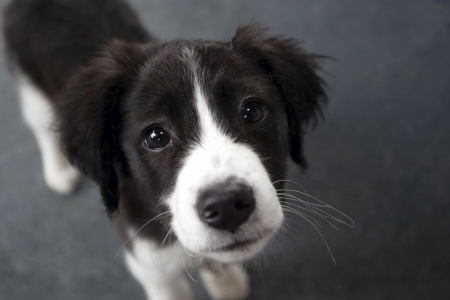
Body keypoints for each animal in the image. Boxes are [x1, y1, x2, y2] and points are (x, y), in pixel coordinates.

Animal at [3, 0, 326, 300]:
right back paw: (58, 171)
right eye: (156, 136)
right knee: (42, 126)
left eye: (253, 111)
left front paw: (226, 281)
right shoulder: (147, 261)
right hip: (30, 85)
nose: (226, 205)